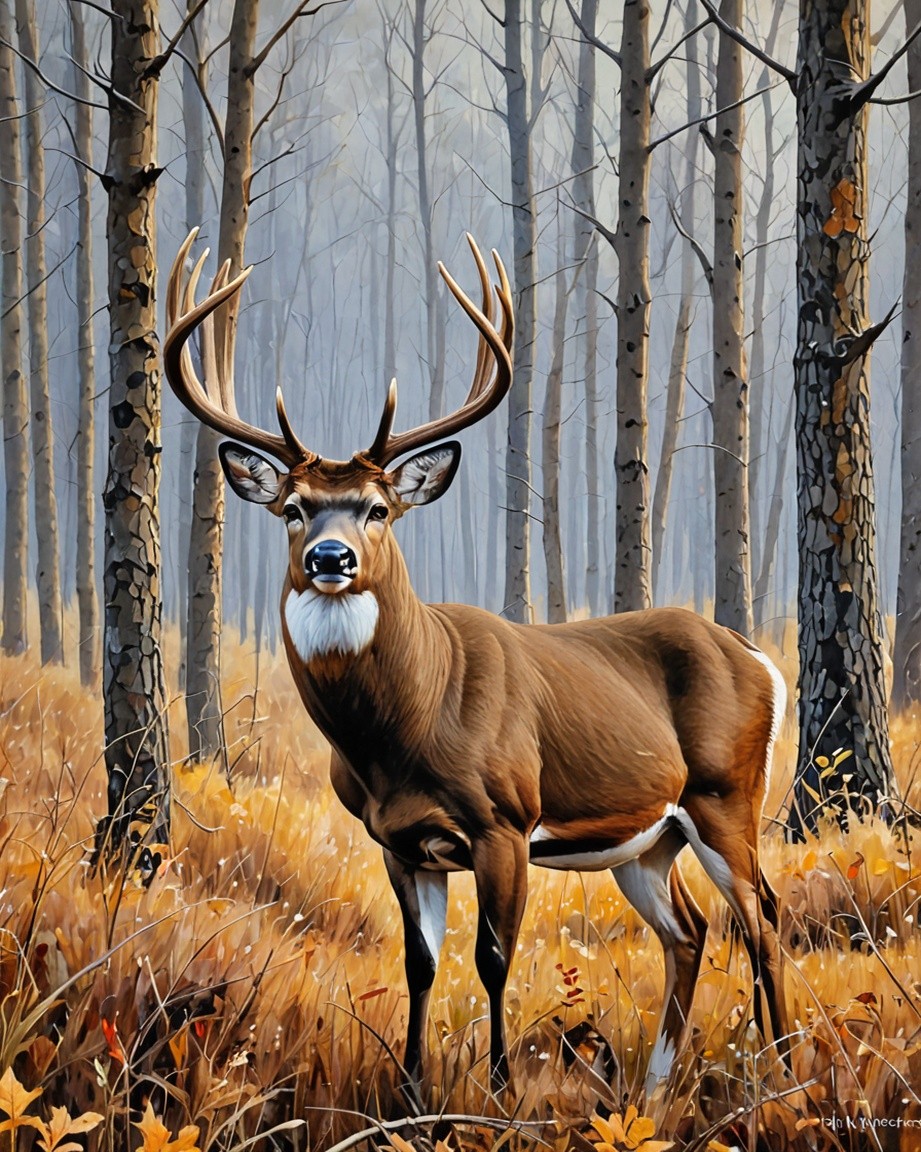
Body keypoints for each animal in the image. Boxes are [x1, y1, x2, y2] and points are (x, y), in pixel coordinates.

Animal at [164, 230, 790, 1099]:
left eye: (377, 508)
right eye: (292, 508)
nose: (329, 558)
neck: (404, 730)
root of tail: (760, 659)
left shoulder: (505, 820)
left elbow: (493, 957)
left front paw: (494, 1090)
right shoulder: (397, 841)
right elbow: (420, 964)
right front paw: (409, 1090)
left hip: (725, 795)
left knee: (762, 917)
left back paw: (783, 1069)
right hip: (648, 838)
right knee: (690, 929)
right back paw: (655, 1086)